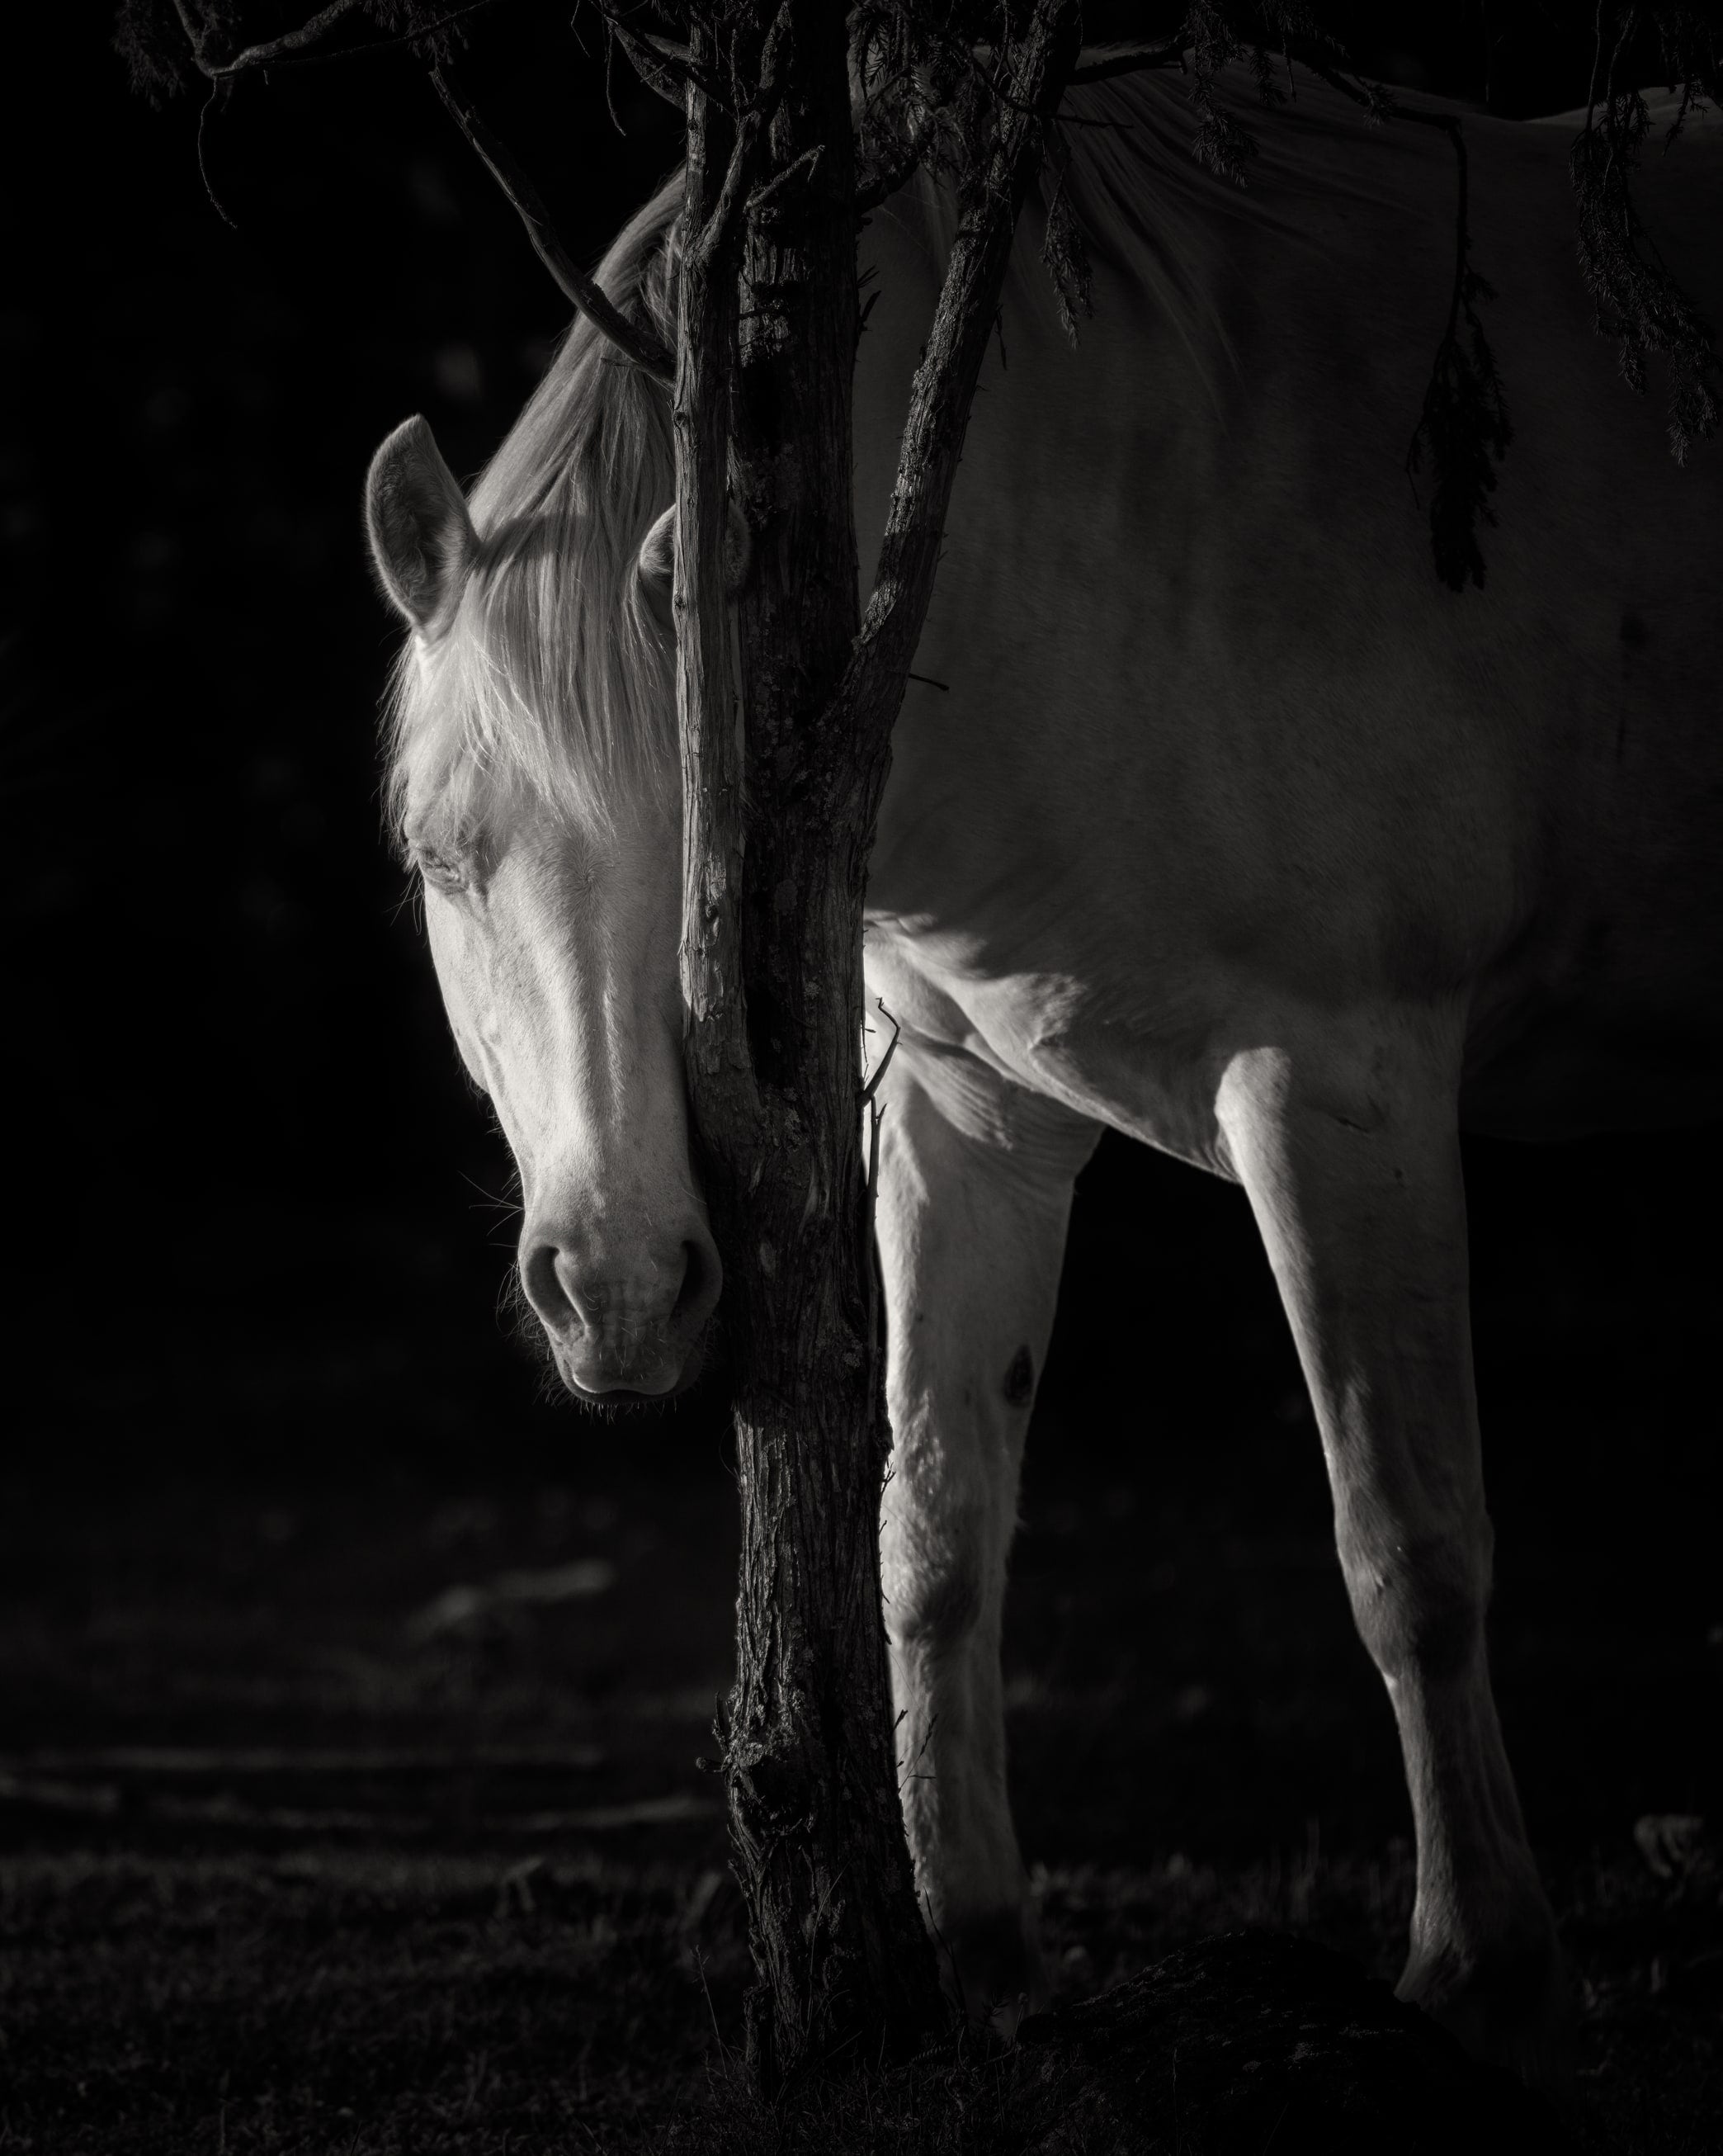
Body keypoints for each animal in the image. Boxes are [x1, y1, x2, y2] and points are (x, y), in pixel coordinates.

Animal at [363, 62, 1722, 2105]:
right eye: (442, 859)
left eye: (715, 853)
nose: (617, 1291)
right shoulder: (965, 1113)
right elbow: (929, 1532)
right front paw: (980, 1952)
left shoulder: (1340, 1090)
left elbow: (1408, 1543)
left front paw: (1483, 1977)